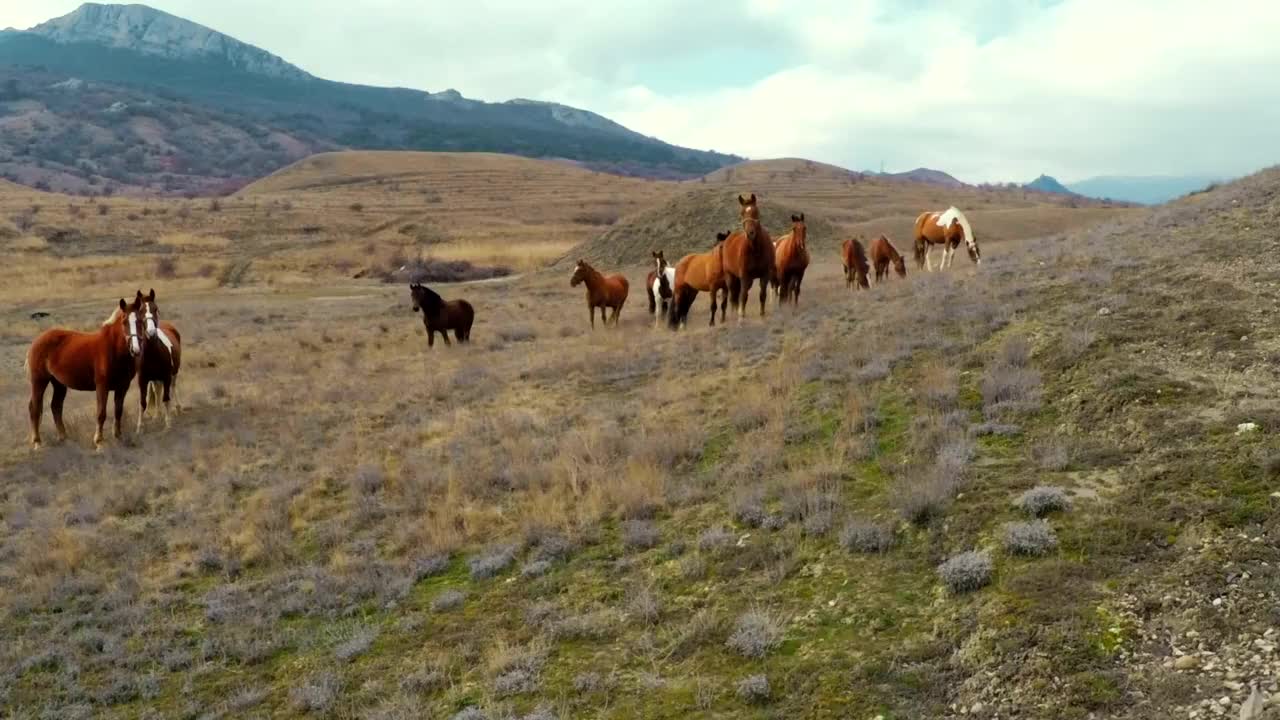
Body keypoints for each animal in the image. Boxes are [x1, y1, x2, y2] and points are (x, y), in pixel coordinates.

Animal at [25, 288, 146, 445]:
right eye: (124, 322)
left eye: (140, 320)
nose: (135, 349)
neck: (113, 350)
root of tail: (37, 341)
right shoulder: (102, 386)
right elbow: (101, 413)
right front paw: (98, 440)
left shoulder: (123, 386)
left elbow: (118, 411)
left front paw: (118, 435)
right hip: (39, 381)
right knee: (34, 407)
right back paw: (37, 442)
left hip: (58, 383)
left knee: (56, 406)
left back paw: (63, 437)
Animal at [135, 286, 183, 430]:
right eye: (141, 311)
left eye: (155, 308)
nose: (151, 332)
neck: (153, 354)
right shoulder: (143, 380)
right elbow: (142, 402)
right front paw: (139, 427)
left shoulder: (166, 376)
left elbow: (166, 398)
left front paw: (168, 423)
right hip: (155, 379)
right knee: (156, 391)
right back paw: (157, 415)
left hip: (173, 374)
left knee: (172, 387)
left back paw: (177, 408)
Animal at [727, 190, 773, 319]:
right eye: (742, 213)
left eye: (756, 211)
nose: (750, 233)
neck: (755, 250)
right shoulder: (745, 276)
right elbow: (743, 296)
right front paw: (741, 316)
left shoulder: (765, 275)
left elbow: (762, 295)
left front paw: (762, 314)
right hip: (730, 276)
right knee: (733, 295)